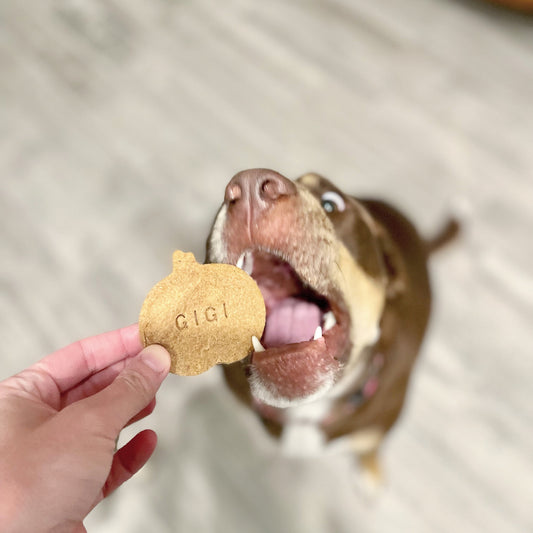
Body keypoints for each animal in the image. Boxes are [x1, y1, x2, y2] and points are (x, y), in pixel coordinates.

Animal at [204, 168, 458, 484]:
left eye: (331, 203)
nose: (249, 186)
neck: (306, 413)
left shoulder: (375, 429)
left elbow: (369, 447)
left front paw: (370, 471)